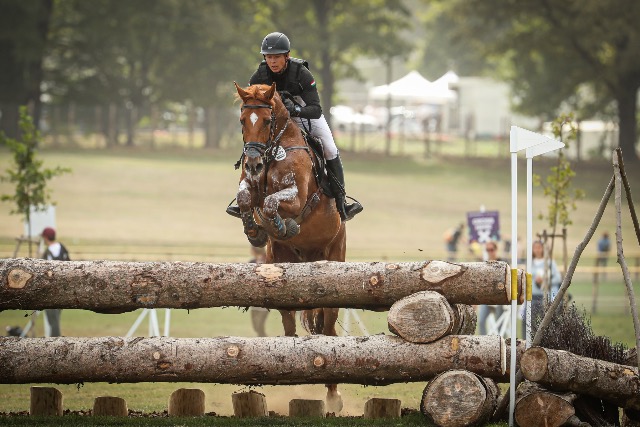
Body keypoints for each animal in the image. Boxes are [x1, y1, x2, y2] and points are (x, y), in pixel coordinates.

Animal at [234, 82, 344, 412]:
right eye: (242, 121)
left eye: (267, 121)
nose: (253, 163)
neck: (273, 150)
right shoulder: (249, 185)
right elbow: (247, 197)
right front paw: (254, 230)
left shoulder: (295, 196)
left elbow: (273, 202)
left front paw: (284, 226)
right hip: (282, 264)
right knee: (289, 320)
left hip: (334, 257)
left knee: (329, 328)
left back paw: (333, 396)